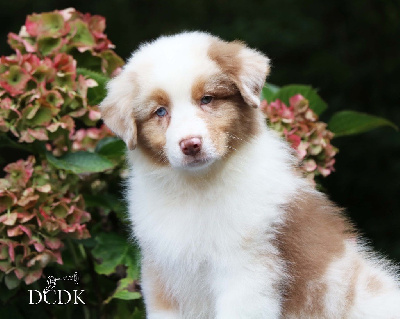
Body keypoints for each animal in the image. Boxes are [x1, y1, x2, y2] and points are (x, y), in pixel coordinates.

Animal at [99, 32, 400, 319]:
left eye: (207, 99)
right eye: (160, 111)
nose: (190, 144)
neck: (198, 187)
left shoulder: (247, 272)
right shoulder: (161, 276)